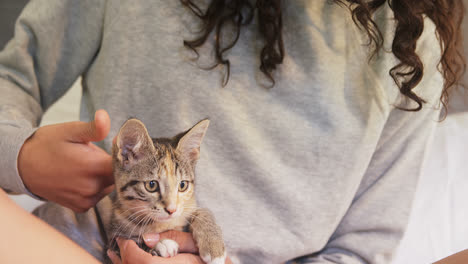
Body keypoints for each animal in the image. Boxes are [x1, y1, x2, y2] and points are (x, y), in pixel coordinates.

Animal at [109, 119, 227, 264]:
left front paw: (214, 245)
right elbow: (132, 242)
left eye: (182, 185)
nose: (172, 210)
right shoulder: (113, 240)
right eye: (151, 185)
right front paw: (160, 245)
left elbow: (203, 211)